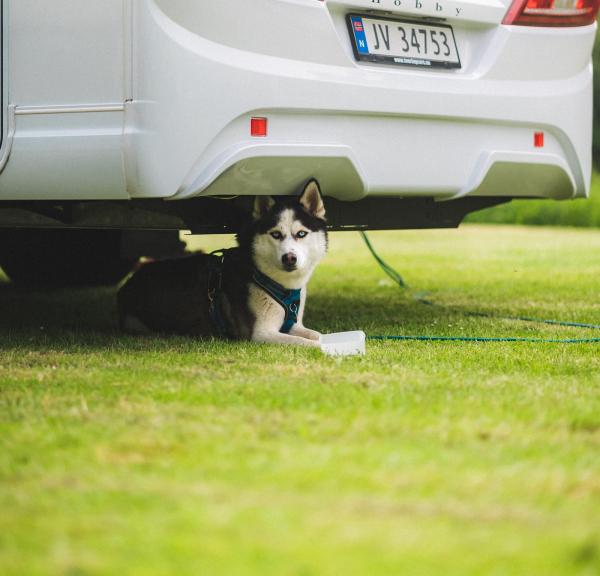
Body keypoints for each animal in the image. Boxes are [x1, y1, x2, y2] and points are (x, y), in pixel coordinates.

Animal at [118, 180, 328, 346]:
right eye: (275, 234)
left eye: (301, 233)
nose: (289, 258)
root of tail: (130, 283)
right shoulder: (259, 333)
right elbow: (308, 342)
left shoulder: (293, 324)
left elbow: (315, 335)